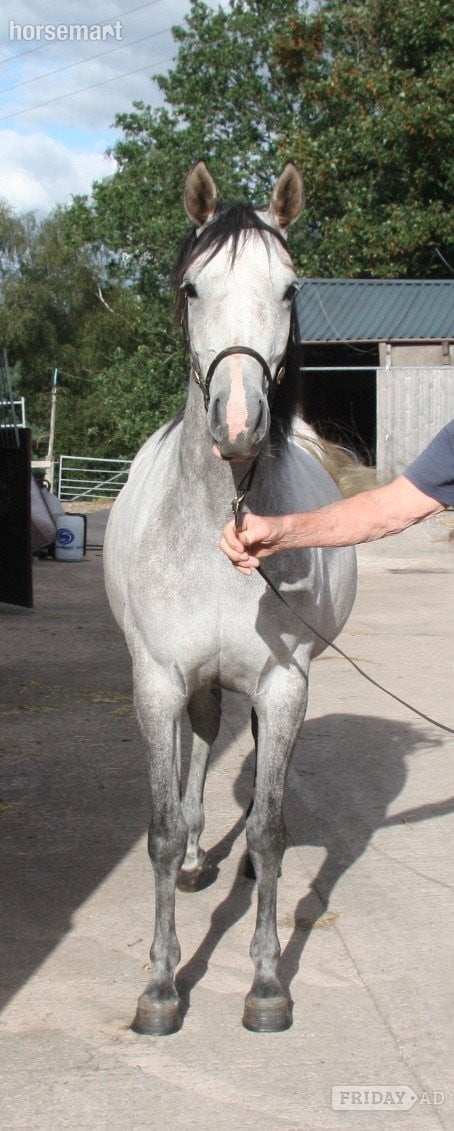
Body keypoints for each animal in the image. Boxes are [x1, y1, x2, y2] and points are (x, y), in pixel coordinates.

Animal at [104, 161, 357, 1036]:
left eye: (288, 287)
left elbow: (275, 828)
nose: (242, 422)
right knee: (199, 748)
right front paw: (158, 984)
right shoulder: (156, 680)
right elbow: (156, 824)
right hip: (191, 685)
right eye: (191, 286)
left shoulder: (283, 682)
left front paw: (267, 980)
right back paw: (195, 857)